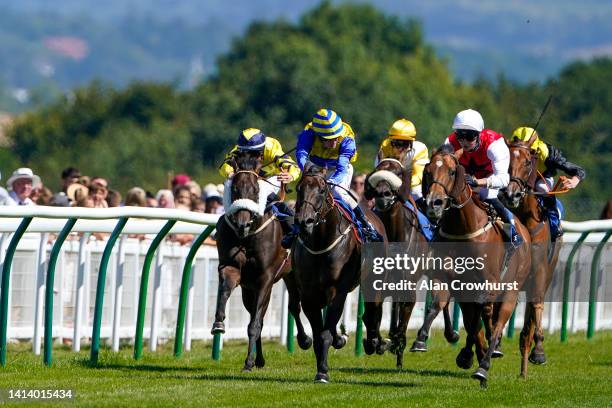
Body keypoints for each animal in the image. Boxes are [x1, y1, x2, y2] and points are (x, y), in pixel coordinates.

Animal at [213, 151, 314, 372]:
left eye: (255, 189)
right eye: (235, 189)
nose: (242, 224)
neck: (248, 237)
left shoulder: (265, 278)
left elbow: (255, 323)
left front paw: (248, 362)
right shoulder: (232, 268)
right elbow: (225, 290)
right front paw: (218, 324)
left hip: (290, 275)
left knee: (294, 306)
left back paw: (304, 340)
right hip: (249, 288)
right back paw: (259, 358)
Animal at [292, 163, 388, 382]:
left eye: (321, 190)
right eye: (298, 189)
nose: (304, 222)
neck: (320, 242)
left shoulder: (338, 290)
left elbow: (325, 332)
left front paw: (322, 372)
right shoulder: (308, 293)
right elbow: (318, 332)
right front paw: (322, 363)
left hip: (373, 278)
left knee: (373, 310)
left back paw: (375, 342)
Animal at [366, 157, 456, 370]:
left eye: (398, 173)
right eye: (377, 170)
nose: (383, 194)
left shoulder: (409, 287)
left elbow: (403, 320)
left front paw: (397, 345)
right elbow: (373, 313)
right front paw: (377, 342)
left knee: (444, 299)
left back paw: (449, 334)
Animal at [424, 147, 532, 386]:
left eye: (452, 172)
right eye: (427, 170)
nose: (434, 202)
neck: (463, 228)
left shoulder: (488, 284)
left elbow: (481, 319)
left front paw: (480, 354)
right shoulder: (449, 279)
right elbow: (439, 304)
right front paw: (423, 339)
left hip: (511, 290)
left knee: (496, 322)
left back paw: (484, 365)